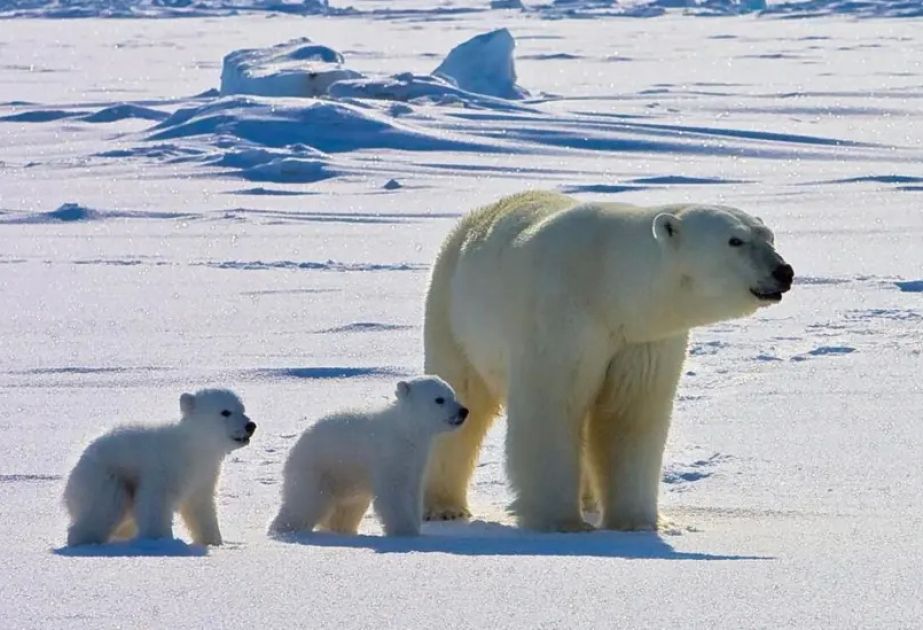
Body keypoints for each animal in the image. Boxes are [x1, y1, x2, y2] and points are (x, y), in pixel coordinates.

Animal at [63, 388, 254, 544]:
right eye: (225, 412)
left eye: (242, 409)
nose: (250, 425)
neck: (191, 449)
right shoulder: (163, 468)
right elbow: (154, 504)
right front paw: (159, 540)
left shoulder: (203, 475)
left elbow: (201, 507)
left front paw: (213, 541)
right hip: (106, 477)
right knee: (104, 508)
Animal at [268, 378, 470, 540]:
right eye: (439, 399)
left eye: (453, 394)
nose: (464, 411)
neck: (405, 431)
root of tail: (294, 450)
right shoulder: (389, 454)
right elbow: (393, 493)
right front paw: (405, 532)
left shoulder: (416, 460)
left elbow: (412, 492)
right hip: (318, 468)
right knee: (305, 503)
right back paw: (283, 530)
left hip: (346, 482)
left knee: (348, 510)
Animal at [426, 189, 796, 532]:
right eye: (735, 240)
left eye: (769, 236)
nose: (784, 271)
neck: (608, 285)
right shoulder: (561, 319)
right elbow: (553, 408)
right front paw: (560, 522)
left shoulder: (641, 340)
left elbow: (629, 415)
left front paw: (637, 523)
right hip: (453, 313)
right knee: (462, 396)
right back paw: (443, 507)